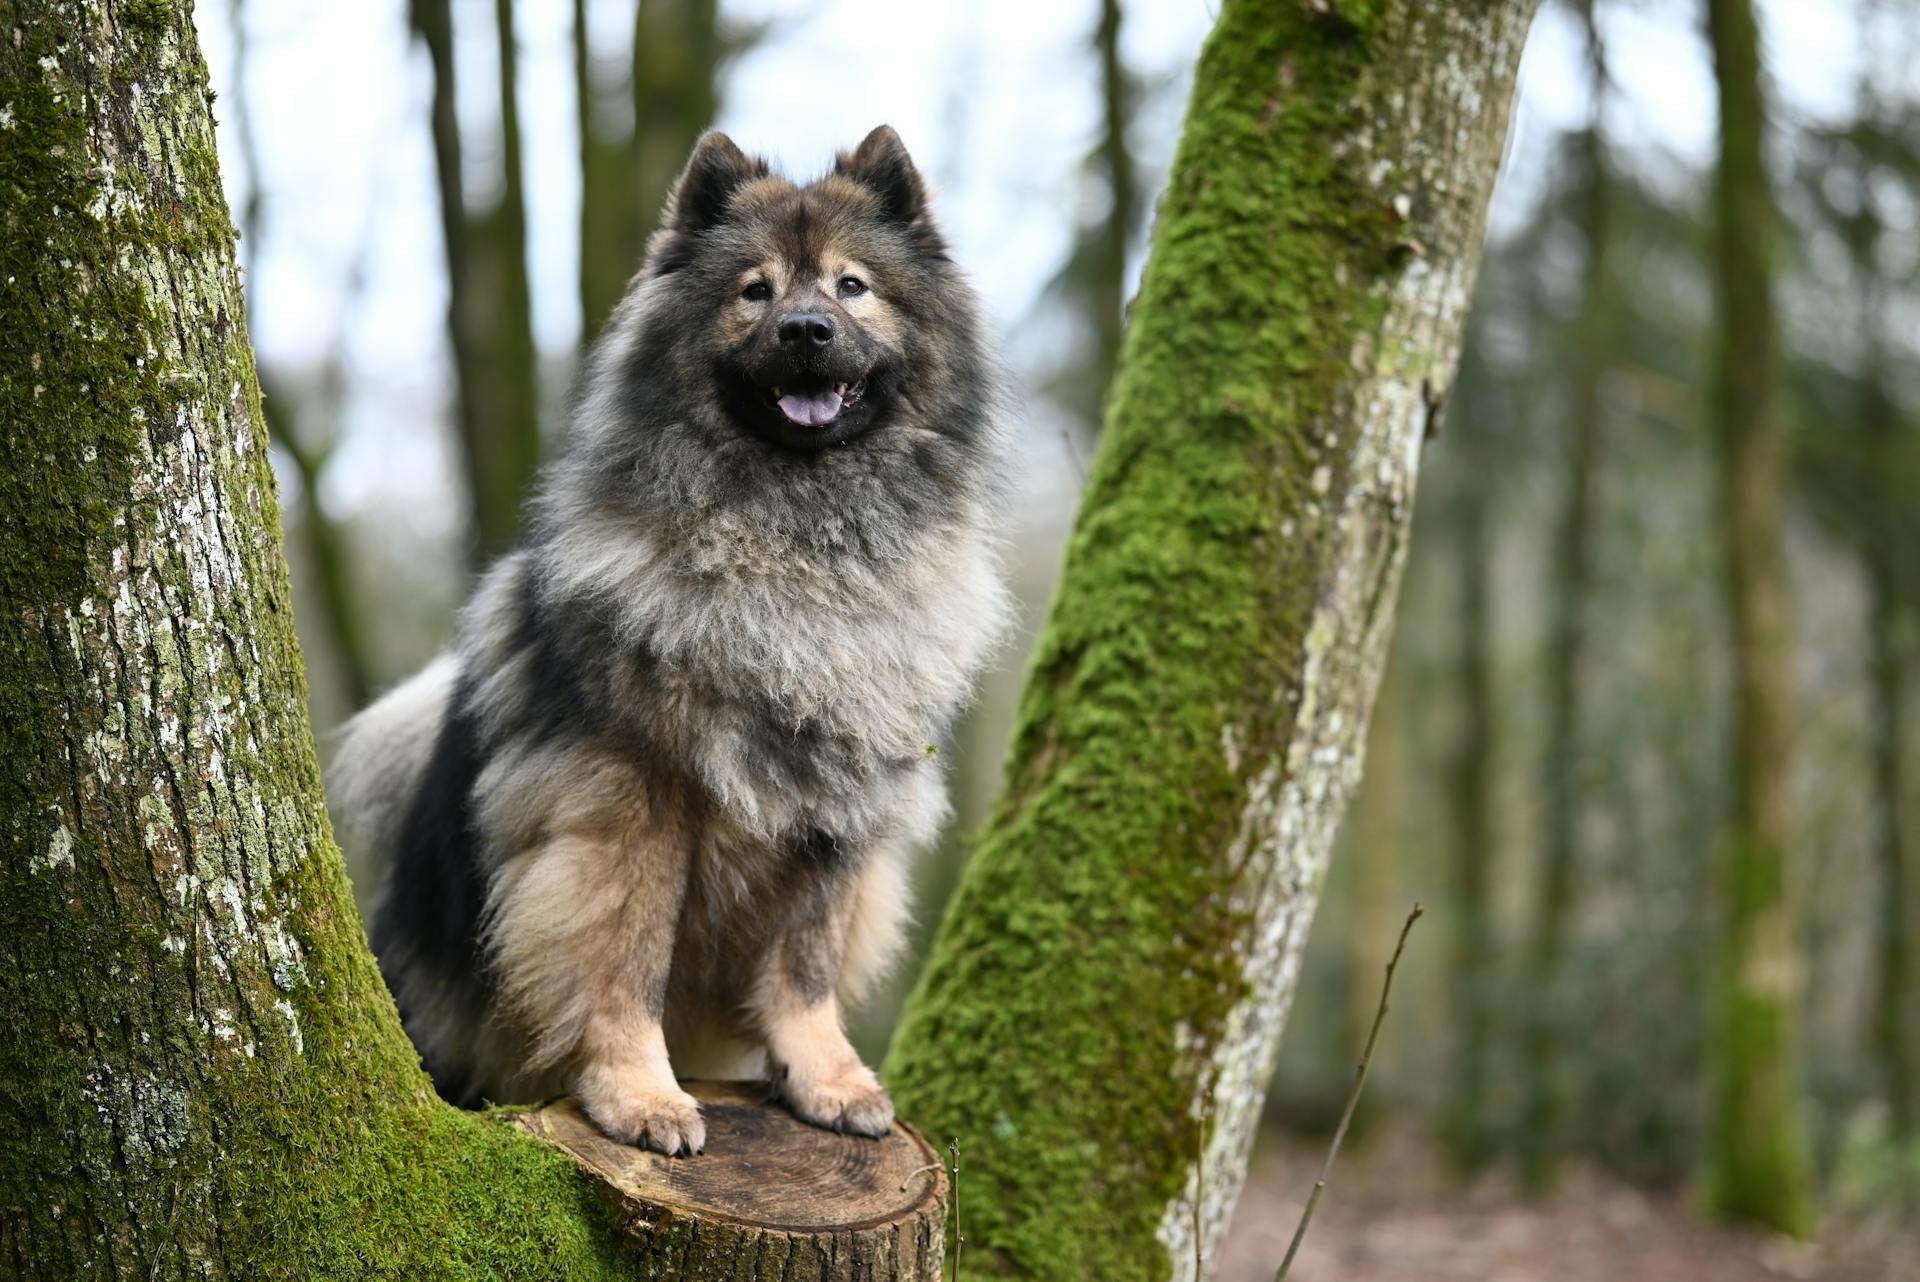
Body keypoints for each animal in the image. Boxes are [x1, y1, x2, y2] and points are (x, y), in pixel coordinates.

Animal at [336, 127, 1013, 1151]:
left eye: (852, 286)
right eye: (755, 291)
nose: (805, 331)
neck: (797, 553)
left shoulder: (835, 808)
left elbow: (804, 965)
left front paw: (827, 1078)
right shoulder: (631, 799)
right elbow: (624, 958)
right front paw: (641, 1095)